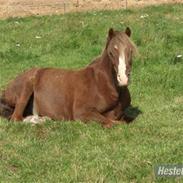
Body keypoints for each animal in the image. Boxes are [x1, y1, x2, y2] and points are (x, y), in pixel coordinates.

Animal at [0, 27, 137, 127]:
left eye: (130, 51)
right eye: (111, 53)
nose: (123, 79)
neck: (102, 84)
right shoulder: (82, 112)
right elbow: (113, 123)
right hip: (26, 87)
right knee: (16, 118)